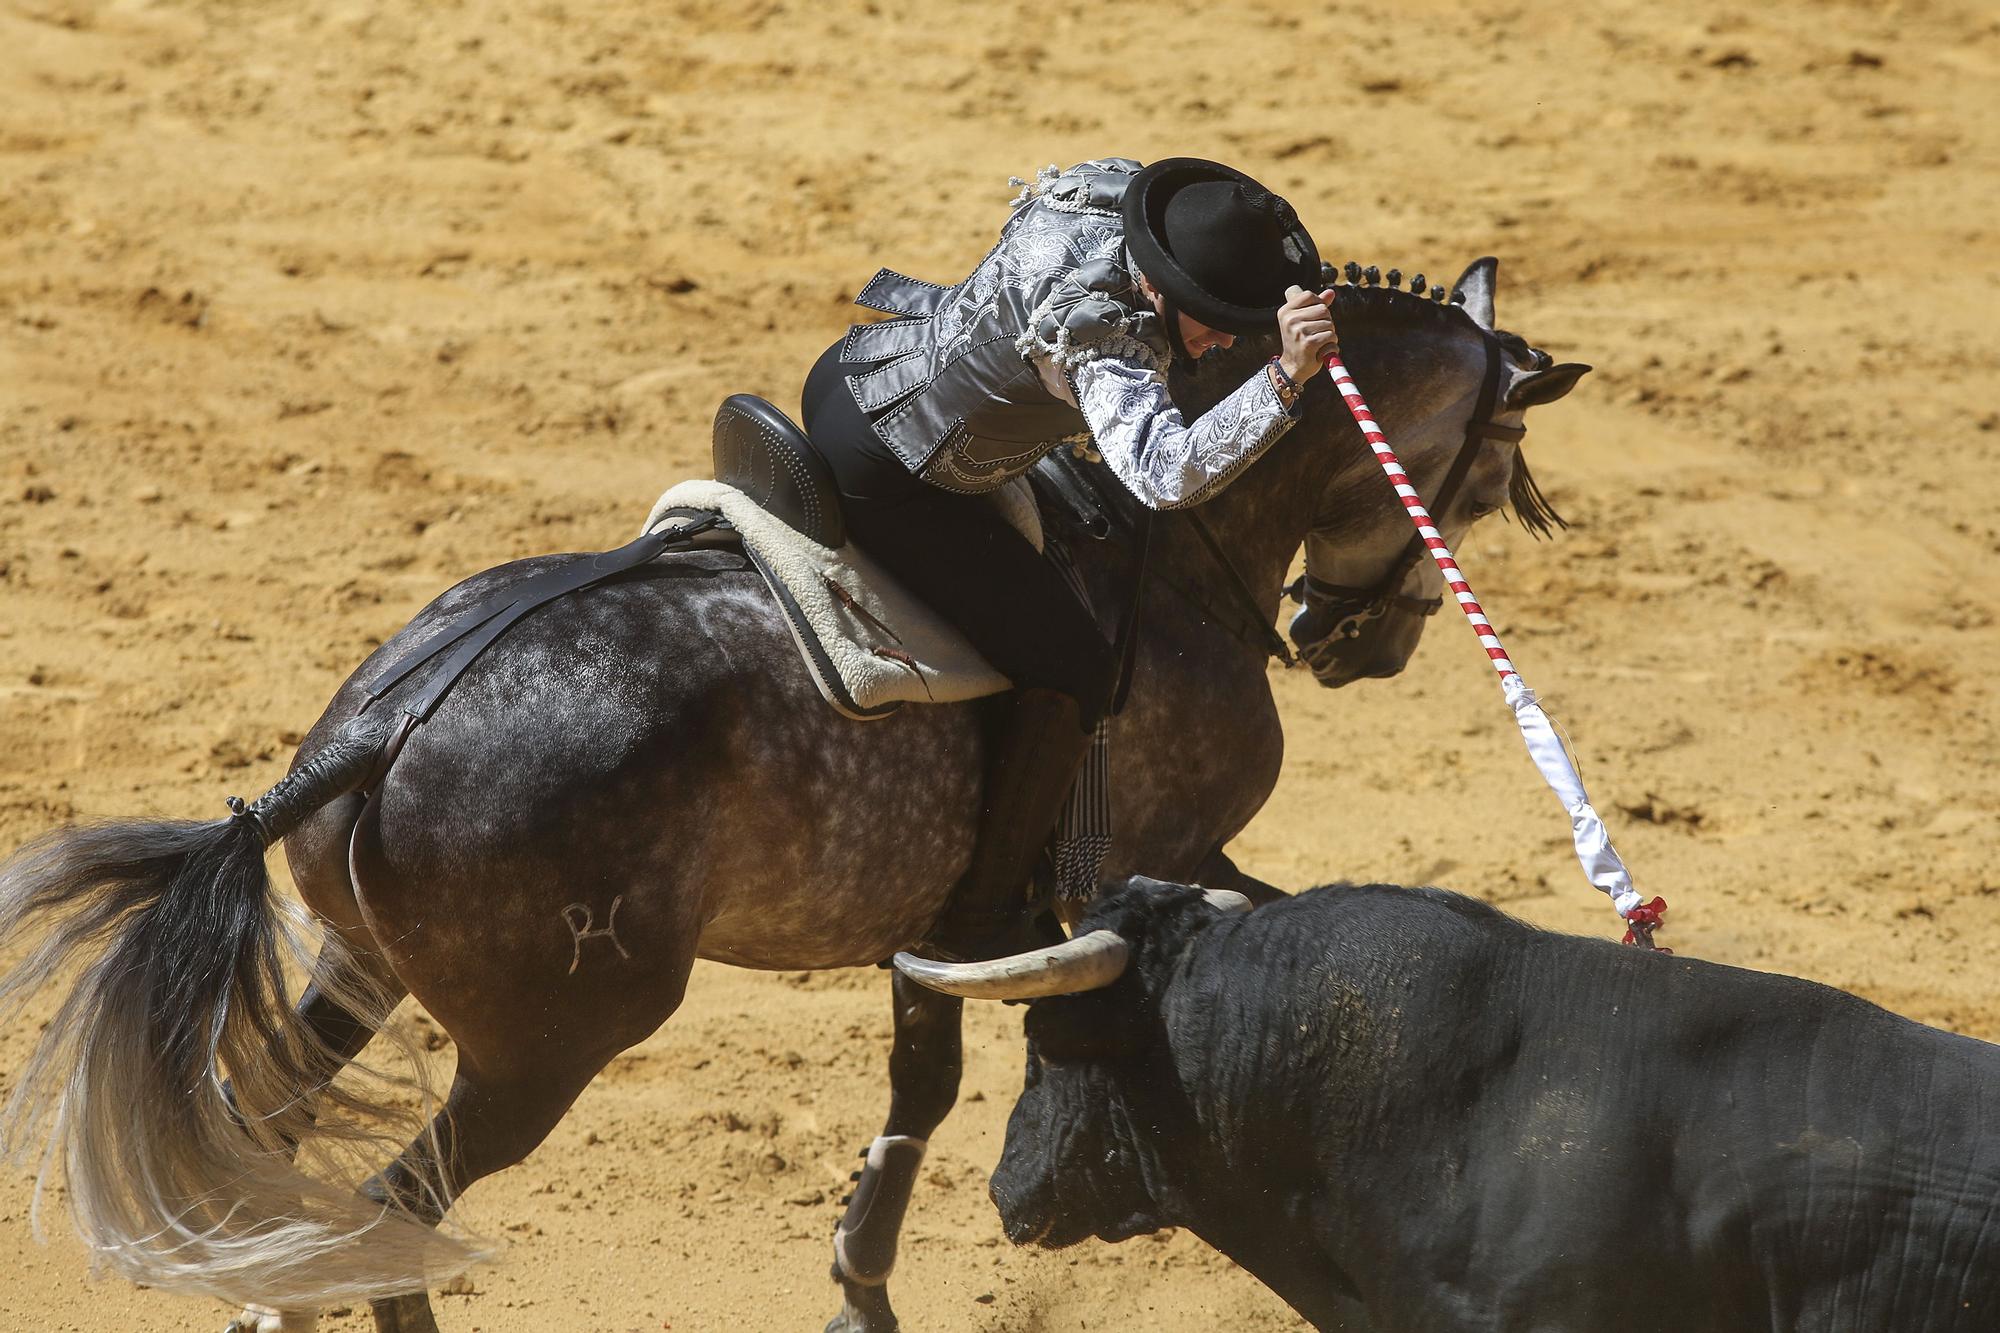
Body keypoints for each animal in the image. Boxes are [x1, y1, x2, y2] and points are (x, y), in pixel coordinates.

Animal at [0, 260, 1592, 1328]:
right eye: (1491, 470)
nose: (1350, 641)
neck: (1168, 542)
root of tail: (376, 729)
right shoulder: (1152, 854)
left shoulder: (951, 924)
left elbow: (923, 1085)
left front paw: (860, 1286)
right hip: (548, 1042)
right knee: (395, 1213)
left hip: (357, 964)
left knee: (264, 1151)